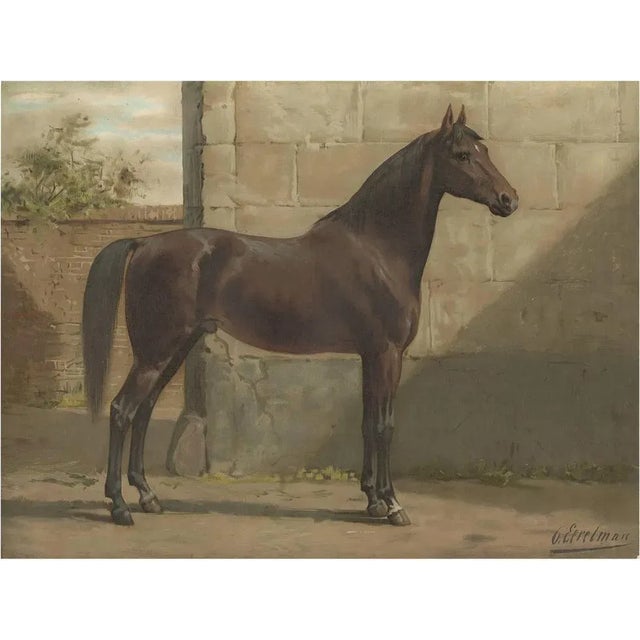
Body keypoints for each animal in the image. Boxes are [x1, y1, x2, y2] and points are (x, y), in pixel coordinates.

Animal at [82, 104, 518, 527]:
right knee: (122, 411)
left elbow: (366, 423)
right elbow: (384, 425)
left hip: (172, 350)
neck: (378, 248)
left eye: (484, 149)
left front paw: (372, 500)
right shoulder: (388, 354)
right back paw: (119, 506)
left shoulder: (369, 355)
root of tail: (145, 244)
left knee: (143, 411)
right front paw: (393, 505)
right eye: (462, 155)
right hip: (156, 352)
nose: (509, 198)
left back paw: (148, 497)